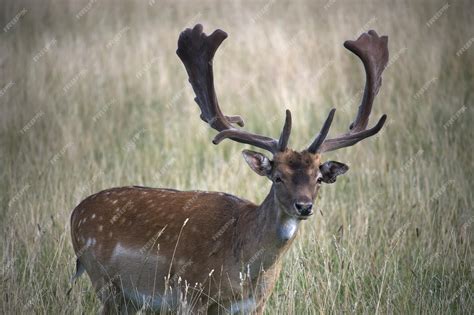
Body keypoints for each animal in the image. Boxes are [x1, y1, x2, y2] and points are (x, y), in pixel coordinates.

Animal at [70, 23, 388, 314]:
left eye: (319, 178)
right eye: (277, 177)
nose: (304, 206)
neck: (244, 271)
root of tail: (75, 214)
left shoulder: (256, 304)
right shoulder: (191, 295)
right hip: (105, 281)